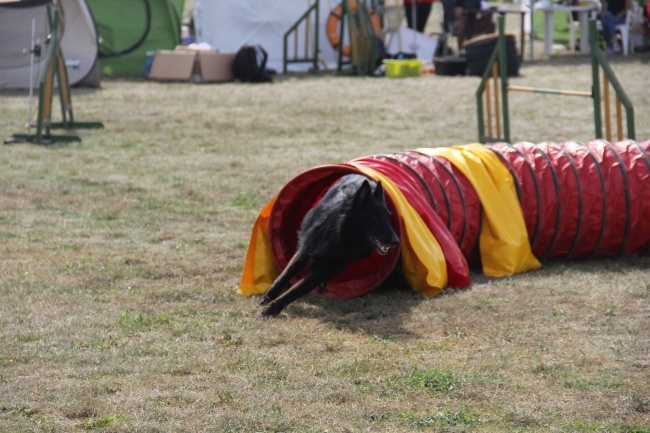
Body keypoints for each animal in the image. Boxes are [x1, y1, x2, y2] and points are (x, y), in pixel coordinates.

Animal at [256, 173, 398, 318]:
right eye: (375, 217)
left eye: (388, 216)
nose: (396, 241)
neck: (338, 232)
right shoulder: (305, 250)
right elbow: (284, 275)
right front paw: (268, 297)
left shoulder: (326, 267)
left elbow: (295, 289)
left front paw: (271, 309)